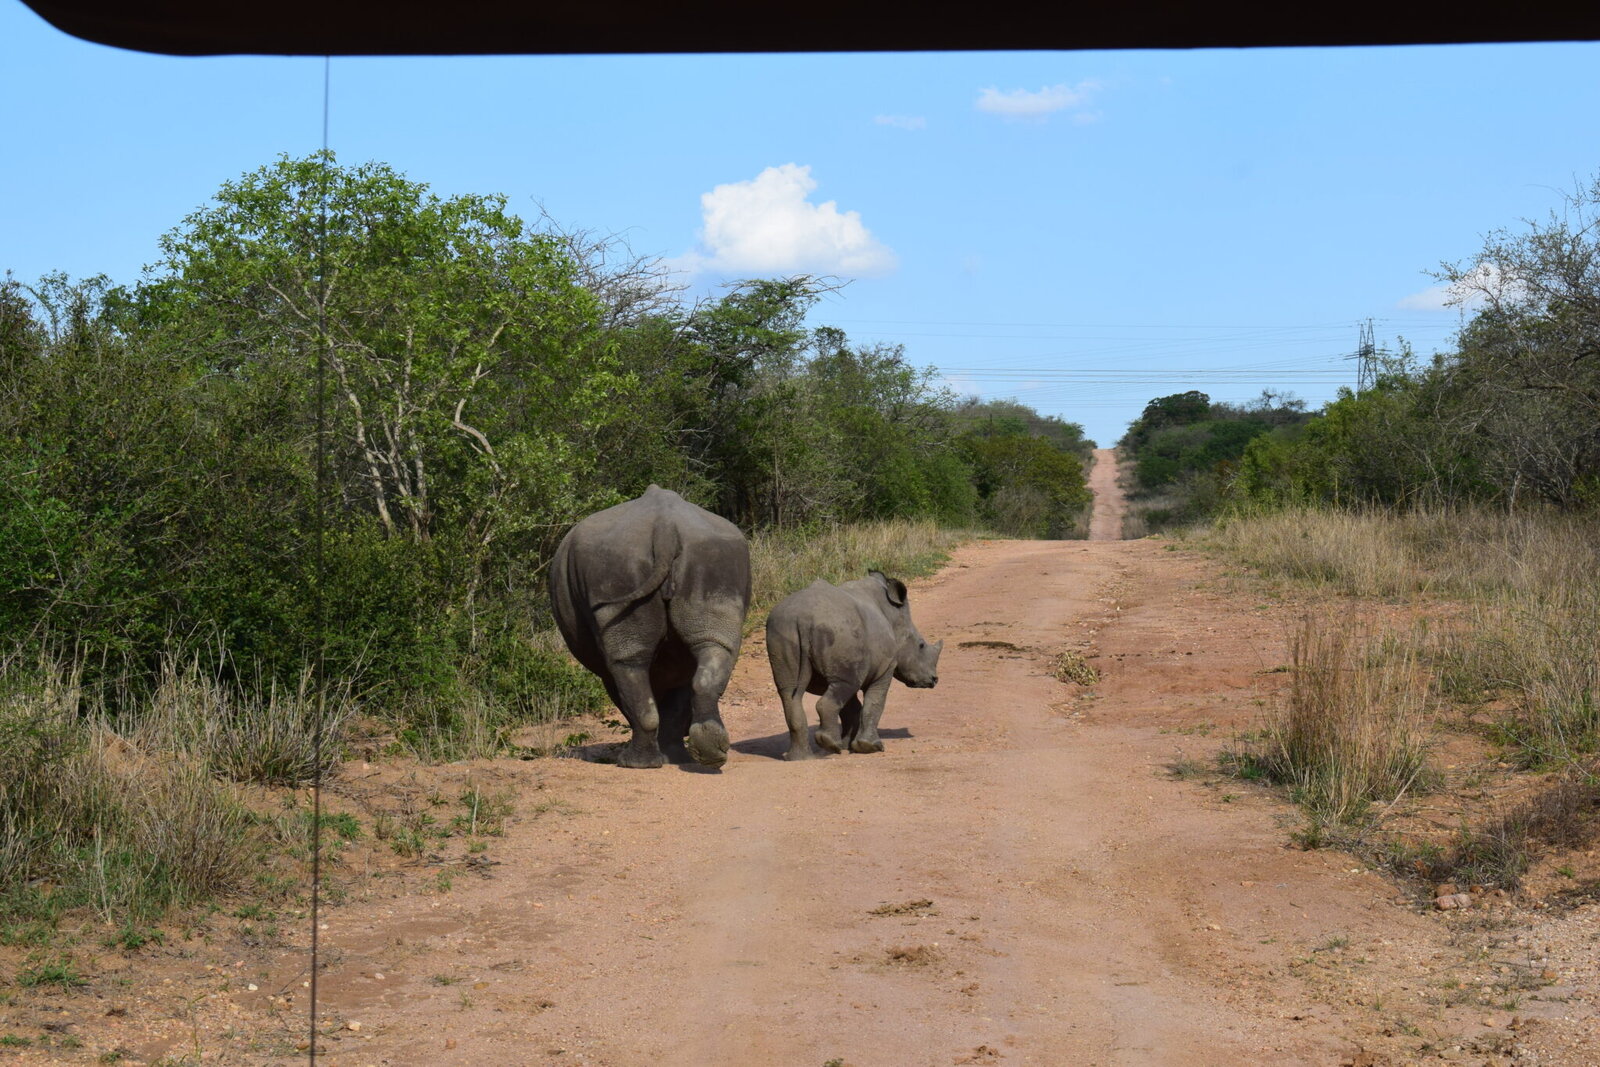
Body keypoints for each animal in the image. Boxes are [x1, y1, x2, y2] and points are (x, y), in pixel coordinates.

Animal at [549, 485, 751, 769]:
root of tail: (665, 528)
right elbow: (677, 699)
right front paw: (673, 754)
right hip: (714, 558)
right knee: (714, 646)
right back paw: (708, 752)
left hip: (616, 563)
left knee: (628, 663)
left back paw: (633, 763)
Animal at [765, 571, 942, 760]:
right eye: (921, 645)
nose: (934, 679)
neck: (894, 617)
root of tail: (803, 619)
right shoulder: (884, 668)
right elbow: (874, 703)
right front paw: (869, 747)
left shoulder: (855, 670)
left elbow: (851, 708)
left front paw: (847, 744)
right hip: (839, 631)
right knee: (838, 689)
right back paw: (829, 745)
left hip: (783, 627)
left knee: (789, 691)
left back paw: (800, 757)